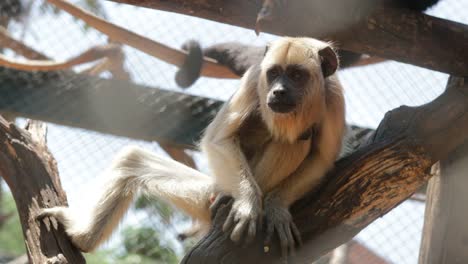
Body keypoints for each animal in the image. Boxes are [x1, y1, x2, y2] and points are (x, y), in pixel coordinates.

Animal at [38, 37, 346, 258]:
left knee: (295, 142)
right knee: (132, 160)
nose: (278, 91)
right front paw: (248, 204)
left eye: (296, 75)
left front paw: (277, 206)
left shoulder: (334, 97)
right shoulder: (253, 77)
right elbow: (218, 139)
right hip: (210, 191)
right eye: (273, 74)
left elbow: (322, 159)